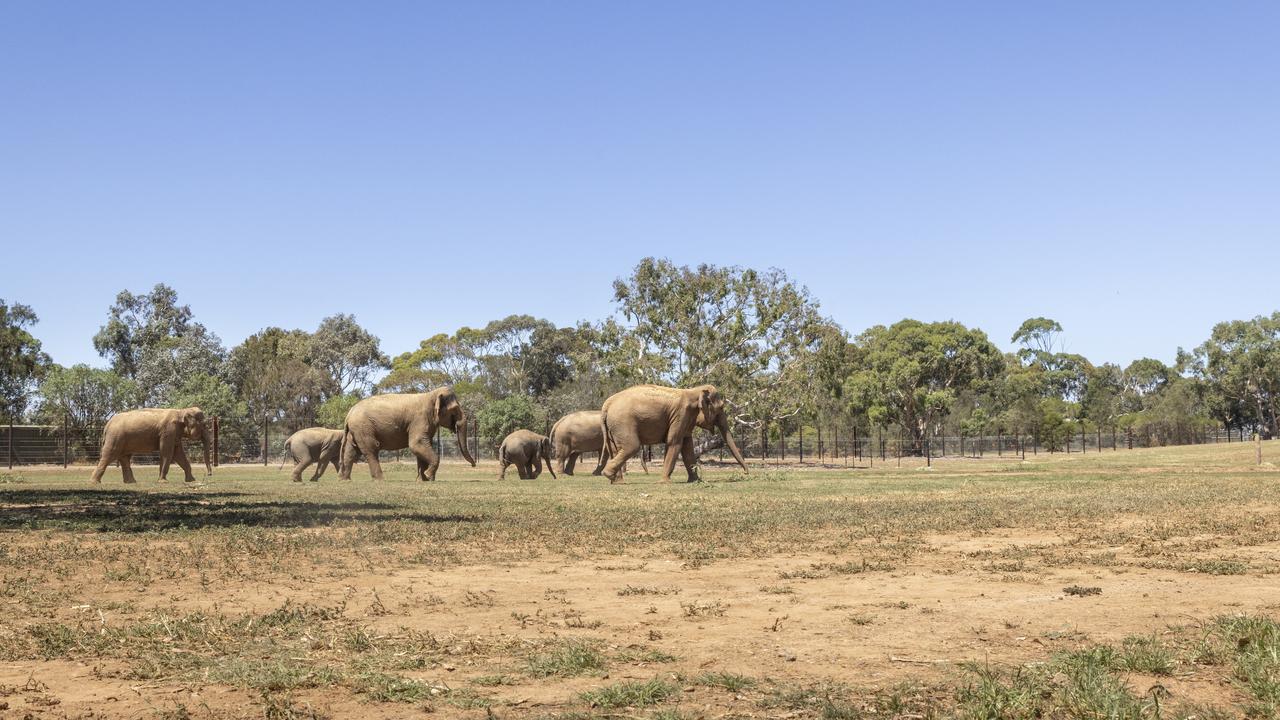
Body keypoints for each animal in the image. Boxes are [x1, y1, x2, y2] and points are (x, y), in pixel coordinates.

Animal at [337, 384, 478, 479]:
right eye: (454, 410)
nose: (473, 465)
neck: (431, 394)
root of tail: (349, 414)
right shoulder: (420, 419)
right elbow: (416, 444)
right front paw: (428, 476)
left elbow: (423, 446)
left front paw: (424, 480)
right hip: (363, 428)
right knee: (371, 449)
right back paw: (381, 479)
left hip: (355, 430)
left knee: (351, 451)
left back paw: (344, 479)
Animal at [601, 381, 747, 481]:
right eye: (721, 407)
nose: (746, 473)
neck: (694, 391)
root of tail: (606, 405)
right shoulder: (680, 414)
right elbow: (674, 442)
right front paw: (665, 481)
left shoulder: (686, 419)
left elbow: (688, 446)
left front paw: (696, 481)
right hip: (623, 422)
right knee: (632, 446)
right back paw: (608, 475)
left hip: (614, 427)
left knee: (615, 450)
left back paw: (616, 480)